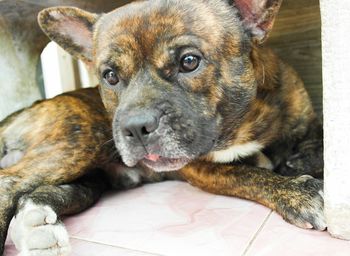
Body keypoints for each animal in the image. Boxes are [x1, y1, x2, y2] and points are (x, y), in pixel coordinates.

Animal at [0, 1, 324, 255]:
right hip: (79, 140)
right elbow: (248, 175)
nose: (135, 127)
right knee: (11, 184)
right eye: (110, 76)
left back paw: (35, 228)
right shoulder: (202, 169)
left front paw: (300, 162)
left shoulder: (308, 122)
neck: (244, 123)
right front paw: (298, 192)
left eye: (189, 61)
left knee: (41, 192)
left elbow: (317, 144)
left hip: (90, 176)